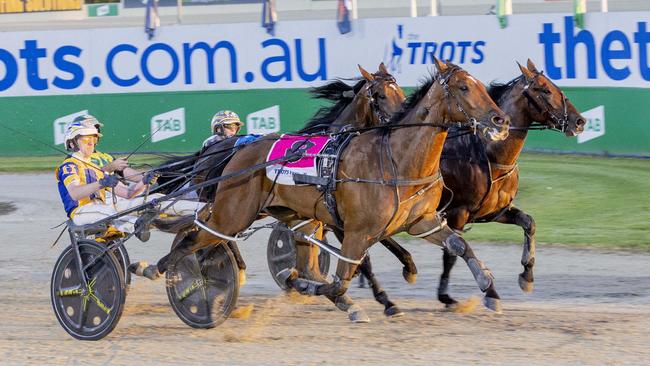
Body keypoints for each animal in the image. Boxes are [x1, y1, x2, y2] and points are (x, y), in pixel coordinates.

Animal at [148, 59, 512, 324]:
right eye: (464, 87)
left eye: (481, 85)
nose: (501, 120)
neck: (396, 158)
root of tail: (238, 150)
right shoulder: (355, 230)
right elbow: (344, 276)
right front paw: (372, 301)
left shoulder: (422, 220)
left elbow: (460, 245)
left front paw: (489, 291)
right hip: (233, 213)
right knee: (195, 240)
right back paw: (161, 271)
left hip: (297, 218)